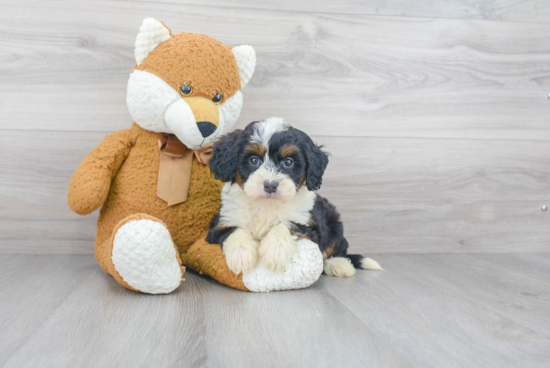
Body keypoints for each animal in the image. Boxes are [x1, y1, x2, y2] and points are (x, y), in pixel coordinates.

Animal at [205, 118, 382, 276]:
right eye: (254, 160)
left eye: (288, 162)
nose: (270, 185)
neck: (266, 204)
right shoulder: (222, 221)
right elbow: (235, 230)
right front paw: (241, 255)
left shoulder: (310, 224)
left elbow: (287, 224)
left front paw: (275, 252)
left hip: (333, 222)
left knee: (335, 248)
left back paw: (339, 265)